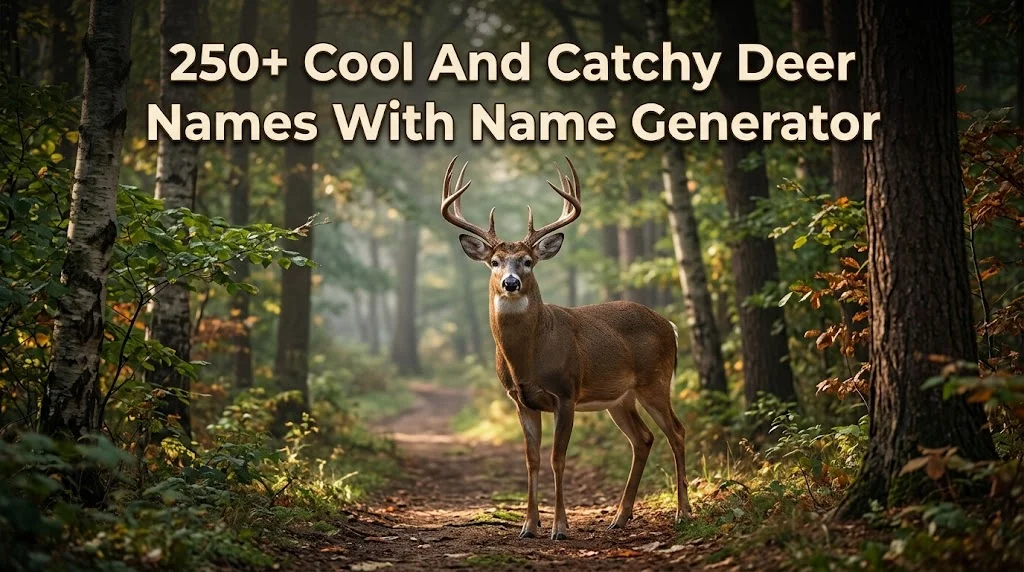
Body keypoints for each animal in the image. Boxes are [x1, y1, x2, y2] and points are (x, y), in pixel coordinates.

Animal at [441, 156, 691, 540]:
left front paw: (559, 527)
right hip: (620, 398)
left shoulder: (566, 393)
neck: (529, 358)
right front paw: (528, 526)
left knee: (676, 432)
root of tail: (670, 326)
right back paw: (620, 517)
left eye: (528, 261)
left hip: (655, 381)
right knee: (643, 438)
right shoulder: (520, 400)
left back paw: (683, 513)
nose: (510, 283)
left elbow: (558, 458)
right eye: (495, 262)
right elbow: (532, 460)